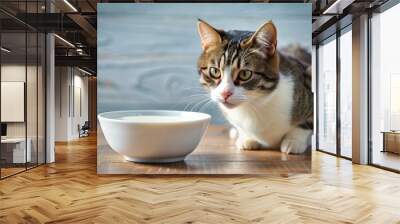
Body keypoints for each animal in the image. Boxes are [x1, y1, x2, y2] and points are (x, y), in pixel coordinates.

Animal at [196, 19, 312, 154]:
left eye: (245, 74)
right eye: (214, 71)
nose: (225, 93)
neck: (253, 106)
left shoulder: (307, 77)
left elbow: (306, 124)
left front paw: (294, 141)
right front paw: (247, 137)